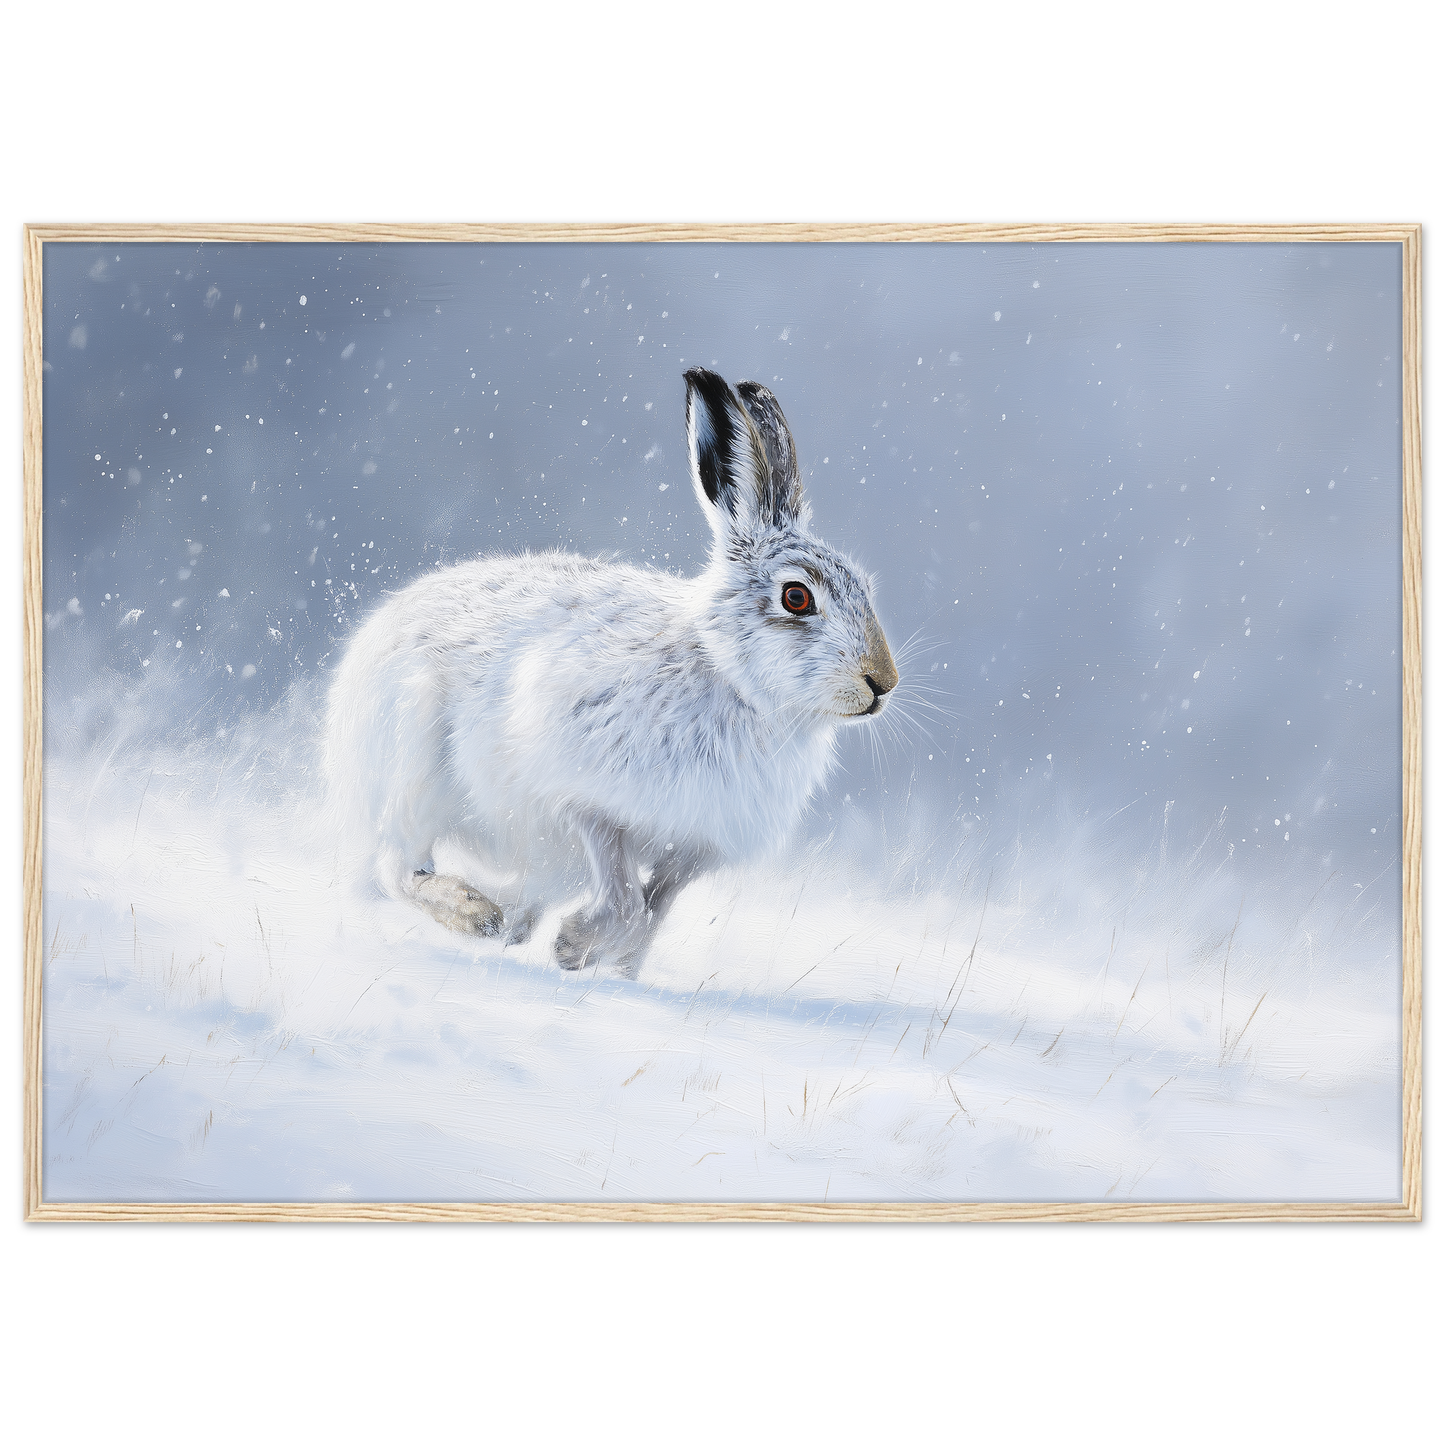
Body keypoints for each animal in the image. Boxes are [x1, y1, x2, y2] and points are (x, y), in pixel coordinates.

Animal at [323, 368, 899, 973]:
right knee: (397, 867)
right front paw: (573, 944)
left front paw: (608, 967)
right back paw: (476, 915)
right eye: (796, 597)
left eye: (865, 587)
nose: (883, 682)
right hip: (415, 762)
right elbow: (625, 901)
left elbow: (651, 916)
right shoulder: (586, 799)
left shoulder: (693, 848)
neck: (730, 677)